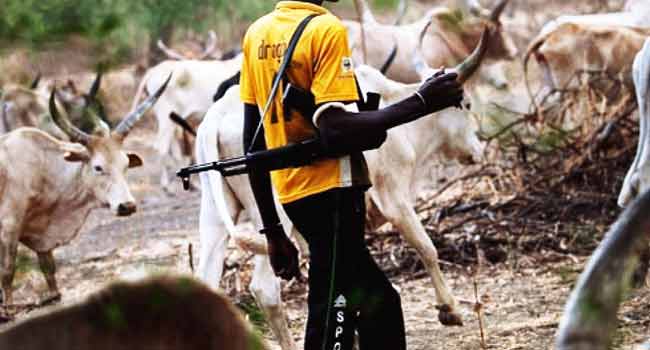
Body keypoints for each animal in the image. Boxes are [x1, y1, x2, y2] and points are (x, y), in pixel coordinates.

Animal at [0, 74, 171, 306]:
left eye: (126, 164)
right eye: (98, 167)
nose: (127, 206)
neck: (42, 166)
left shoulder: (41, 236)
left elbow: (49, 270)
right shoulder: (9, 227)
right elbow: (7, 272)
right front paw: (8, 308)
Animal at [130, 54, 242, 189]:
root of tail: (153, 71)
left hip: (171, 120)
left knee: (174, 150)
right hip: (166, 115)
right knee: (161, 147)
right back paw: (166, 185)